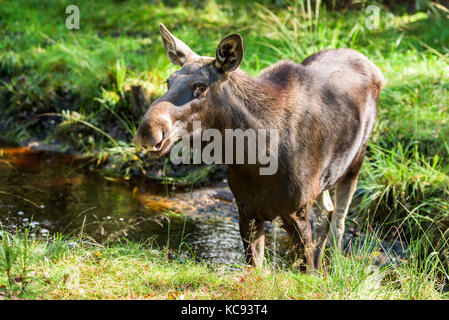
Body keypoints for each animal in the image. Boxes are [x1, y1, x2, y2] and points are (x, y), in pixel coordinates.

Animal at [133, 23, 382, 272]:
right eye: (168, 81)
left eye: (201, 87)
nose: (148, 131)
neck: (254, 158)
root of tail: (375, 69)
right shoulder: (247, 211)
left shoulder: (298, 214)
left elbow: (306, 268)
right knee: (327, 212)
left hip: (355, 161)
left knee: (339, 219)